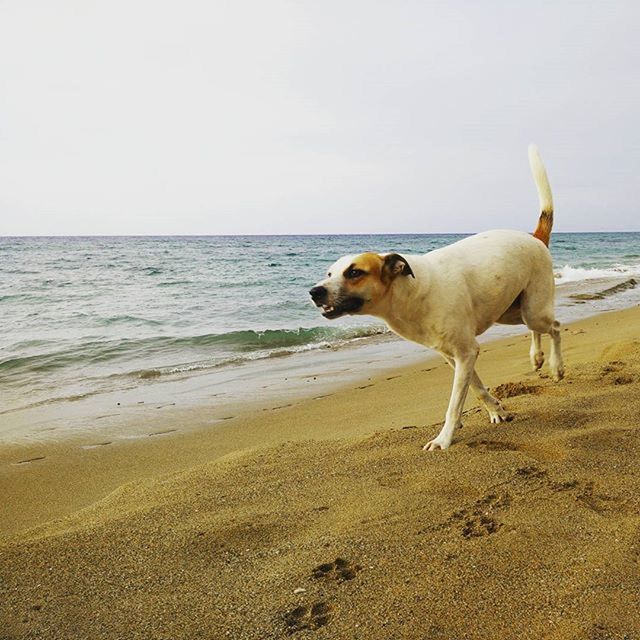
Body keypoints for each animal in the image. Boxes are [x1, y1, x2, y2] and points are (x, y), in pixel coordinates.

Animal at [310, 147, 564, 452]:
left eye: (354, 272)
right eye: (329, 273)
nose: (314, 292)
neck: (410, 292)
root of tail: (535, 237)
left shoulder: (466, 352)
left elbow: (454, 404)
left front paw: (444, 439)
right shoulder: (453, 356)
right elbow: (477, 388)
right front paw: (496, 410)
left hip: (533, 307)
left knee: (555, 327)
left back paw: (556, 367)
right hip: (512, 311)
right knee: (536, 328)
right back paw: (536, 357)